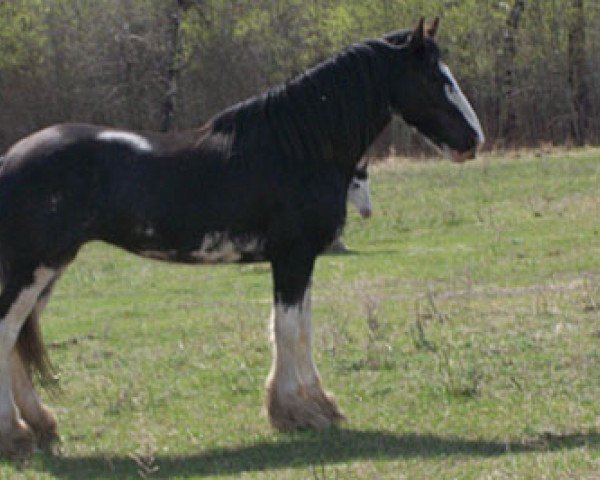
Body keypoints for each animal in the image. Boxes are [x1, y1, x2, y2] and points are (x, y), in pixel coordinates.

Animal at [0, 15, 482, 458]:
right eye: (436, 78)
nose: (473, 140)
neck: (298, 147)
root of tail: (11, 158)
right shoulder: (292, 257)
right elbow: (288, 330)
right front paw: (295, 412)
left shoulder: (302, 259)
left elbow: (302, 327)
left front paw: (319, 406)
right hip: (32, 267)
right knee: (7, 331)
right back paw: (16, 436)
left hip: (50, 268)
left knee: (20, 336)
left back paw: (42, 425)